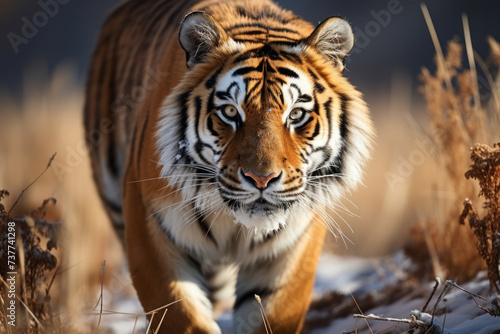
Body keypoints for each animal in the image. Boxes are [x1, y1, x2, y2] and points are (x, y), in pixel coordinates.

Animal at [86, 0, 374, 332]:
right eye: (230, 112)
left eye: (296, 114)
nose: (261, 179)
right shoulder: (149, 226)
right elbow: (182, 315)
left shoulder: (294, 245)